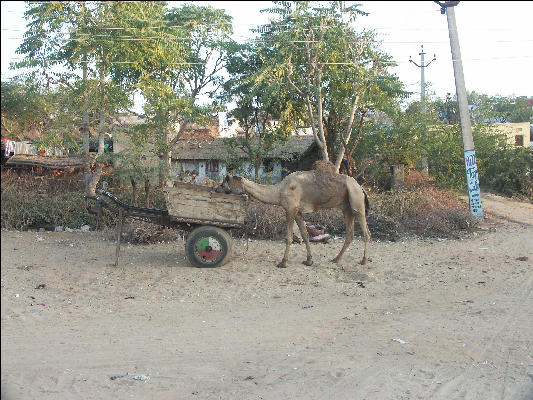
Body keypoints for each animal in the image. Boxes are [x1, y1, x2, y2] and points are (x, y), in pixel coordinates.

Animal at [221, 160, 370, 268]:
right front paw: (309, 261)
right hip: (346, 208)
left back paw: (363, 261)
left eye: (225, 183)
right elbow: (305, 235)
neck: (279, 190)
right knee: (350, 234)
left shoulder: (290, 209)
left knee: (366, 232)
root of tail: (361, 187)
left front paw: (283, 262)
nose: (217, 187)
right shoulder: (298, 212)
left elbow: (288, 237)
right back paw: (336, 259)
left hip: (356, 202)